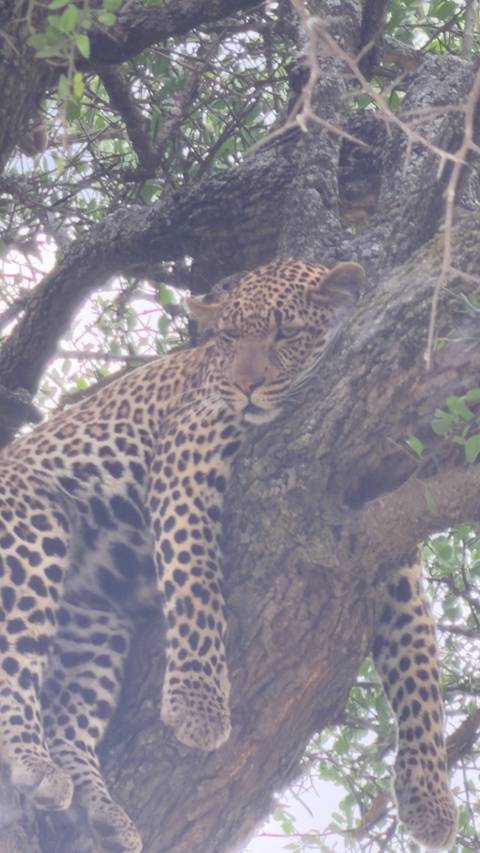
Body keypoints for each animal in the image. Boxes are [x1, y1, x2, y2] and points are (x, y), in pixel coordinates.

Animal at [0, 258, 457, 852]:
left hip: (95, 623)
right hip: (32, 530)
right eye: (229, 337)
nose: (245, 387)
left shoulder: (392, 542)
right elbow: (194, 578)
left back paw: (101, 811)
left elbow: (422, 669)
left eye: (287, 333)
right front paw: (198, 706)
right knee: (15, 666)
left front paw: (430, 799)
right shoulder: (186, 452)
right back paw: (31, 762)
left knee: (68, 718)